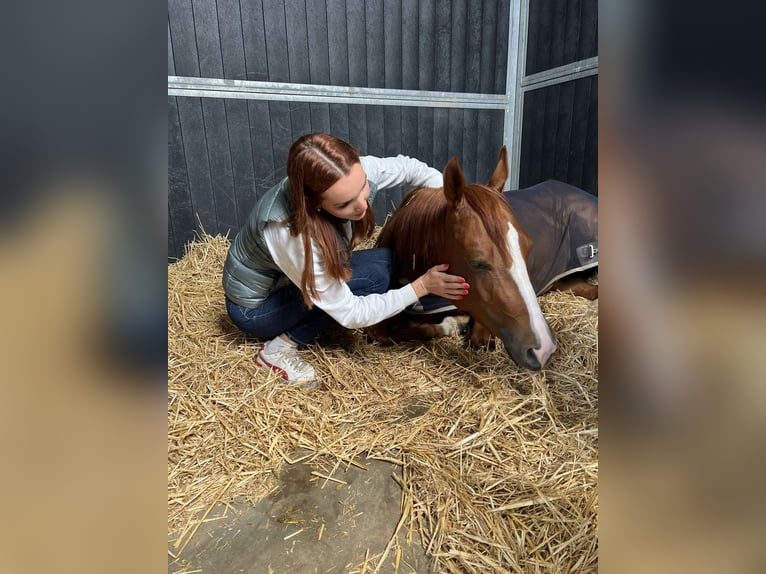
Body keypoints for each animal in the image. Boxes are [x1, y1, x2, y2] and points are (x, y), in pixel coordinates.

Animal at [370, 146, 600, 372]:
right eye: (477, 262)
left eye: (528, 248)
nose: (542, 350)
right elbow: (383, 334)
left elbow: (475, 338)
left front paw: (456, 323)